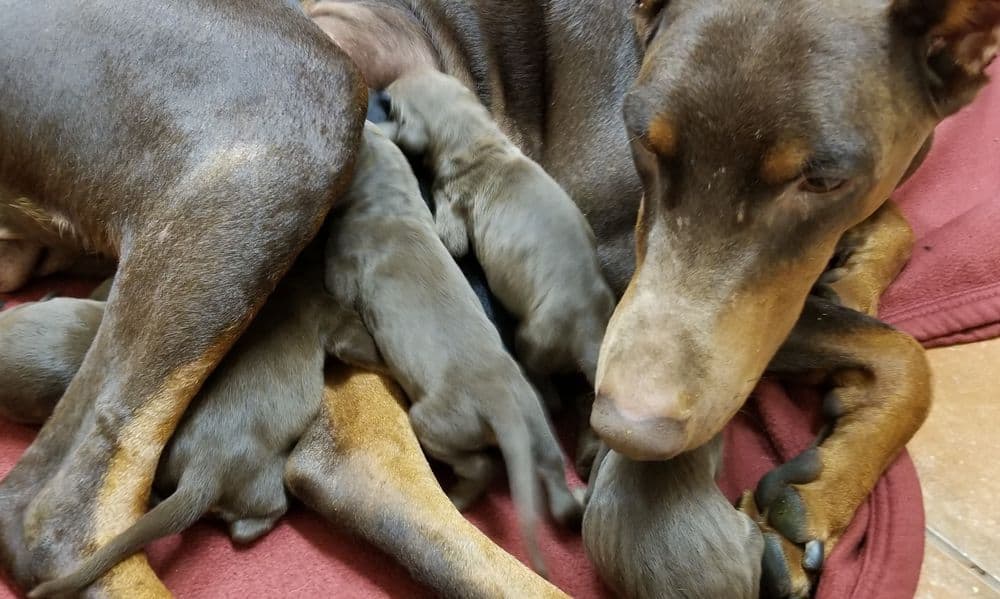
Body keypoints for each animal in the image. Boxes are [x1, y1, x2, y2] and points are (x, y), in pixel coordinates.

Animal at [25, 255, 380, 596]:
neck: (291, 286)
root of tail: (201, 475)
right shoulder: (330, 314)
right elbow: (356, 342)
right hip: (262, 486)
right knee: (250, 525)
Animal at [324, 123, 584, 576]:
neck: (394, 204)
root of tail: (502, 405)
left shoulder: (346, 262)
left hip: (436, 421)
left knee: (480, 465)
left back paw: (460, 496)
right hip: (536, 422)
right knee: (553, 472)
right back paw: (569, 504)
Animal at [382, 69, 616, 390]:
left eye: (394, 103)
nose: (385, 87)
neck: (474, 138)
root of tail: (590, 336)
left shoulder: (455, 199)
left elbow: (452, 238)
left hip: (536, 338)